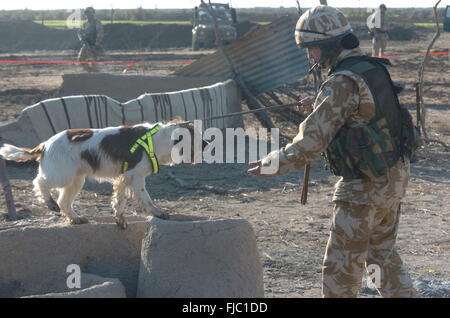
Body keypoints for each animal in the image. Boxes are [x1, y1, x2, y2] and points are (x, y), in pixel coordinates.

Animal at [0, 120, 206, 229]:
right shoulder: (135, 176)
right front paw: (159, 213)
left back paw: (76, 218)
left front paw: (120, 219)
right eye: (196, 139)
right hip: (61, 174)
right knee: (39, 183)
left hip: (76, 180)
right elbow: (146, 198)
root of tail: (45, 144)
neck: (159, 140)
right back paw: (49, 203)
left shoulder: (124, 178)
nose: (207, 145)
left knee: (64, 202)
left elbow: (119, 201)